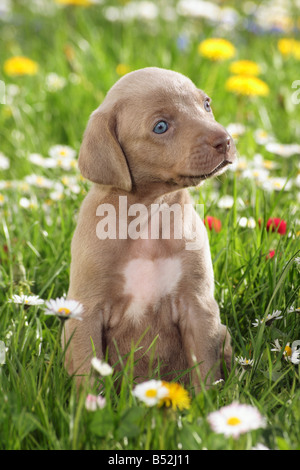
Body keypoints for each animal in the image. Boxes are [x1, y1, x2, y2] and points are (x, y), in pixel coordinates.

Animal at [63, 67, 237, 390]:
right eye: (161, 127)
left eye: (206, 104)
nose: (226, 140)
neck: (148, 214)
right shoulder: (86, 313)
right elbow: (87, 371)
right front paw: (90, 404)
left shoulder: (197, 307)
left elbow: (205, 369)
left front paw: (207, 402)